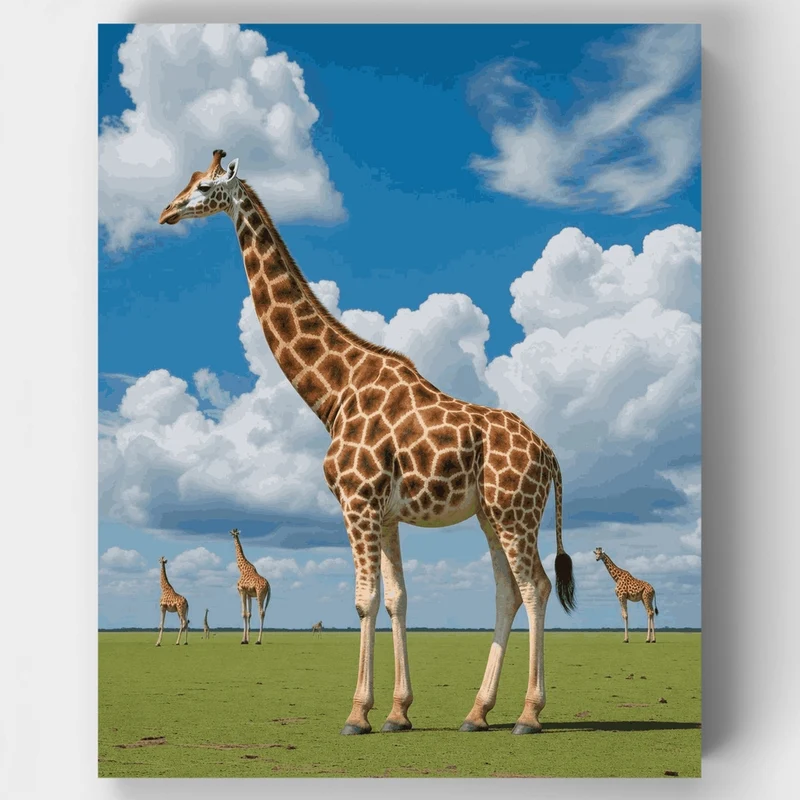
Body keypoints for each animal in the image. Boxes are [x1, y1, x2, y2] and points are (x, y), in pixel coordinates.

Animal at [159, 150, 576, 736]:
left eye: (204, 187)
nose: (166, 212)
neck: (333, 394)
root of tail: (550, 454)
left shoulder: (356, 500)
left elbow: (364, 600)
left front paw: (358, 713)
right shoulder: (388, 511)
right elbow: (397, 598)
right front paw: (398, 712)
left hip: (515, 511)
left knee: (535, 587)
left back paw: (529, 714)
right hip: (492, 513)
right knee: (509, 590)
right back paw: (477, 712)